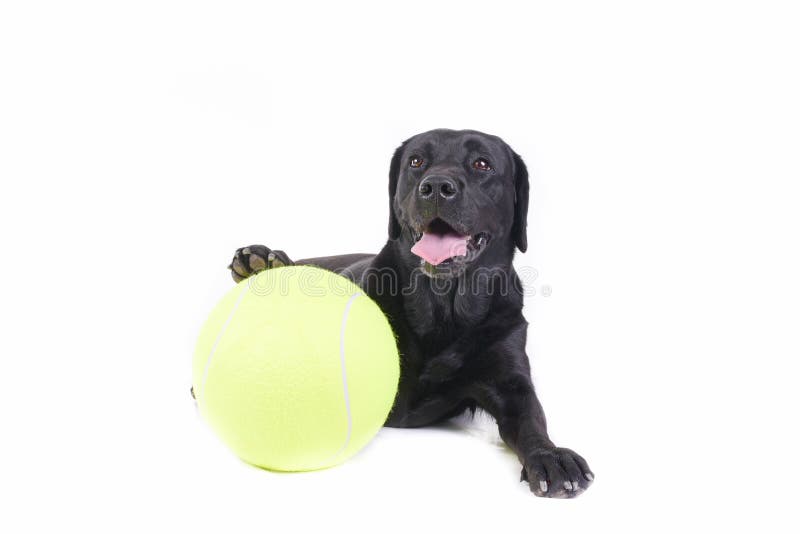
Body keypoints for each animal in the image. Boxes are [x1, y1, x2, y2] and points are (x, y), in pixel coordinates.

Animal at [228, 129, 592, 498]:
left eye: (482, 163)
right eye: (416, 161)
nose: (437, 186)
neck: (443, 308)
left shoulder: (510, 379)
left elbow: (532, 419)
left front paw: (551, 456)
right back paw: (261, 261)